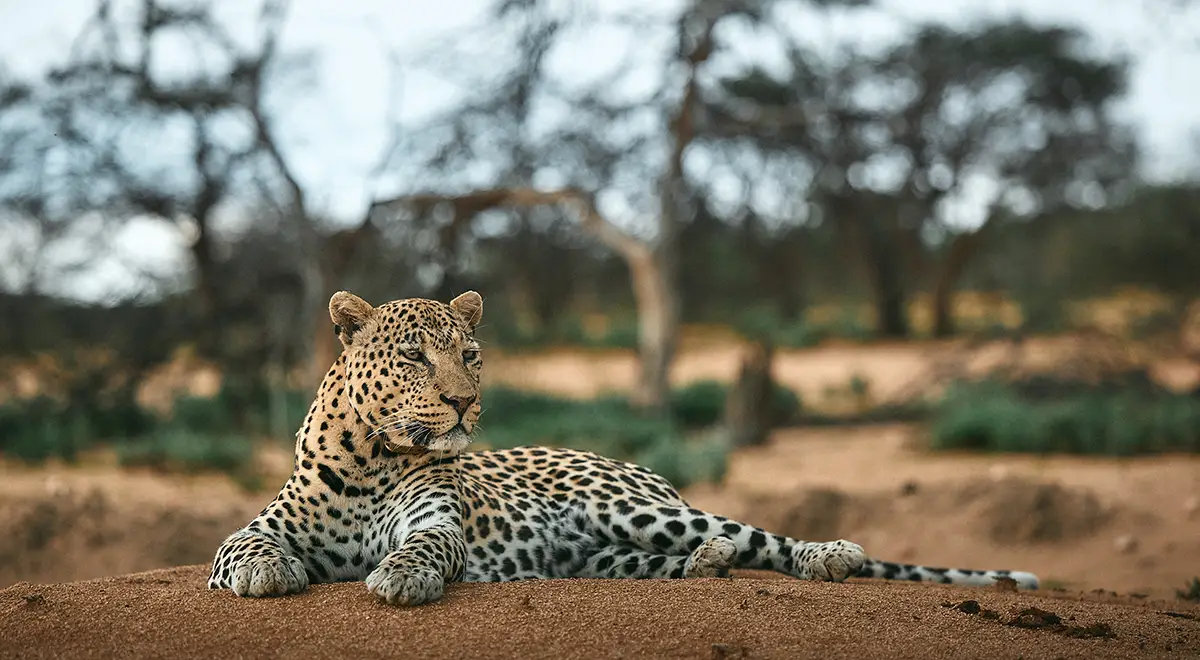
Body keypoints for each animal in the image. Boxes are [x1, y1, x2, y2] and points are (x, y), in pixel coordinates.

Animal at [208, 290, 1040, 605]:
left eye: (469, 354)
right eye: (415, 355)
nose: (464, 401)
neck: (372, 460)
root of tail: (639, 466)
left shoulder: (437, 520)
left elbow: (427, 544)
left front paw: (399, 578)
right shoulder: (264, 522)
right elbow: (240, 544)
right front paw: (266, 574)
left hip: (639, 511)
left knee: (761, 538)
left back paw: (828, 556)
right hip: (598, 553)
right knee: (678, 560)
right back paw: (706, 567)